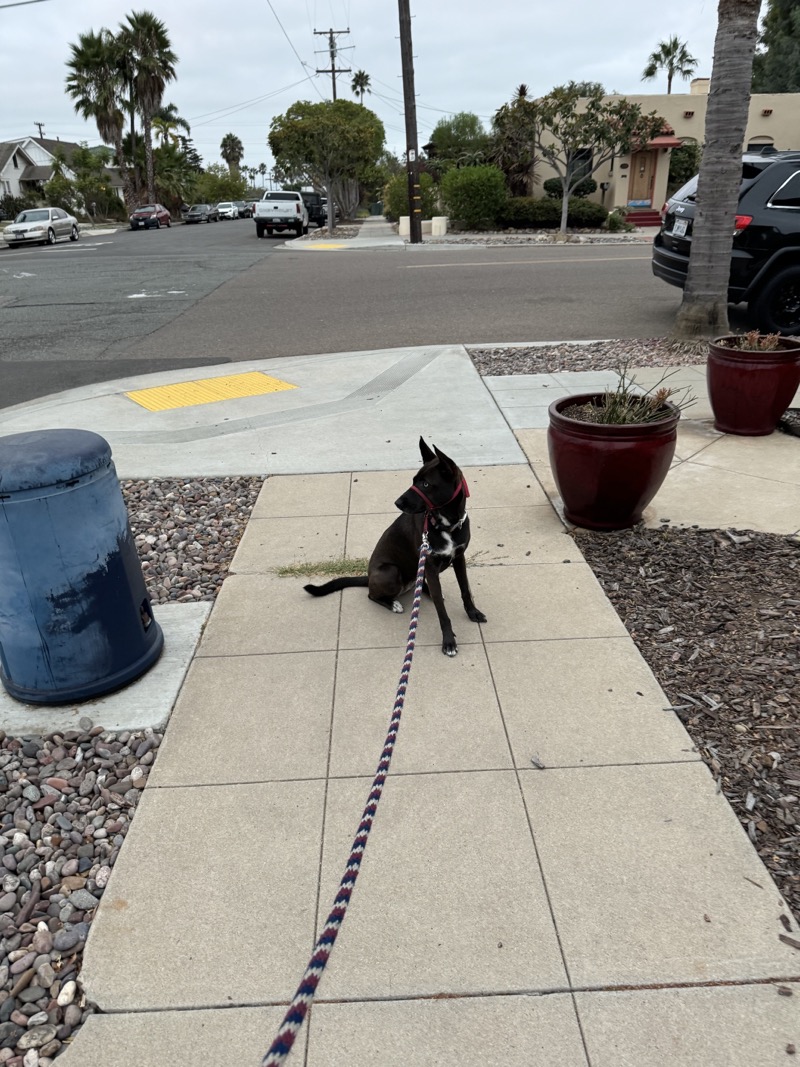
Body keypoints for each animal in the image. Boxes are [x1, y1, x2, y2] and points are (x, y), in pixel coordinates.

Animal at [302, 437, 486, 653]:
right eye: (414, 480)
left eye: (425, 484)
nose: (397, 502)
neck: (447, 524)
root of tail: (369, 576)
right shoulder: (431, 566)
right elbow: (442, 612)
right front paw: (448, 640)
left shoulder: (458, 558)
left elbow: (465, 590)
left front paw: (473, 612)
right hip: (391, 572)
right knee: (372, 595)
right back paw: (393, 603)